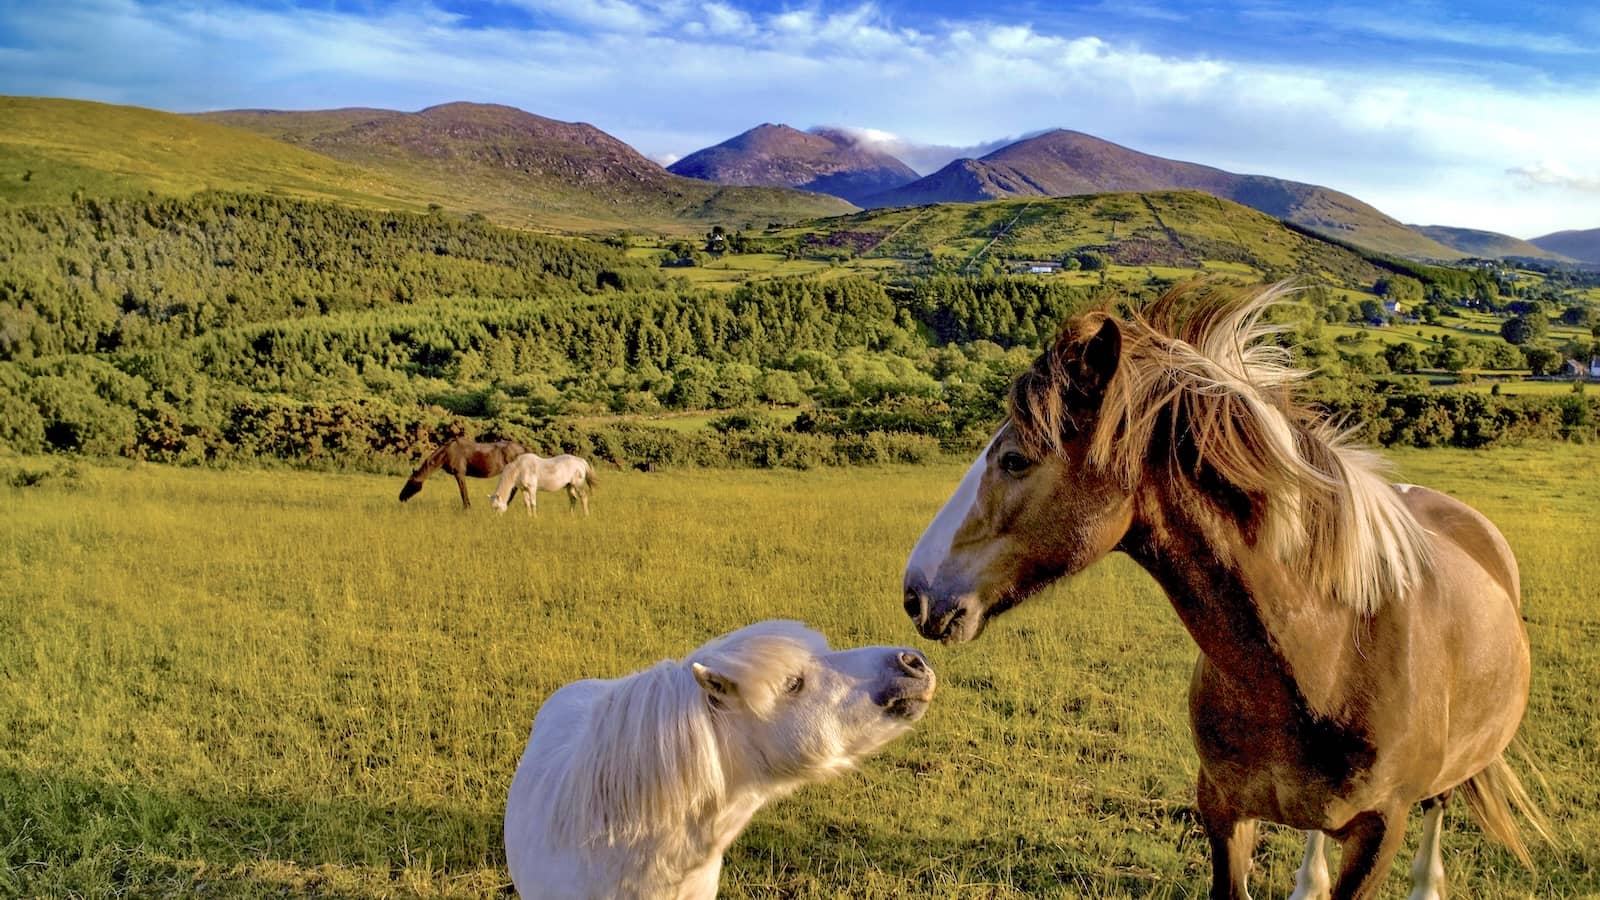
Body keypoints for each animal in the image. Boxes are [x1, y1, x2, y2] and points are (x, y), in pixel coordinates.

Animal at [398, 437, 527, 508]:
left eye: (409, 483)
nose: (400, 497)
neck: (447, 452)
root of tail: (523, 448)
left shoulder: (459, 474)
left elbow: (463, 491)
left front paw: (467, 508)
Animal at [900, 281, 1545, 900]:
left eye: (1014, 460)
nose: (915, 592)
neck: (1329, 656)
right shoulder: (1221, 809)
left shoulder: (1379, 833)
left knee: (1439, 810)